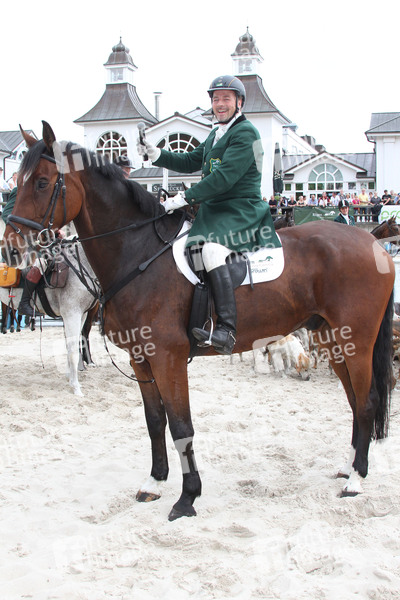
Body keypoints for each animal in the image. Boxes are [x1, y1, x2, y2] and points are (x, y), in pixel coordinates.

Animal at [0, 240, 100, 396]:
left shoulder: (81, 314)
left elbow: (71, 344)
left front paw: (70, 378)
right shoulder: (72, 314)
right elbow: (72, 350)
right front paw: (76, 387)